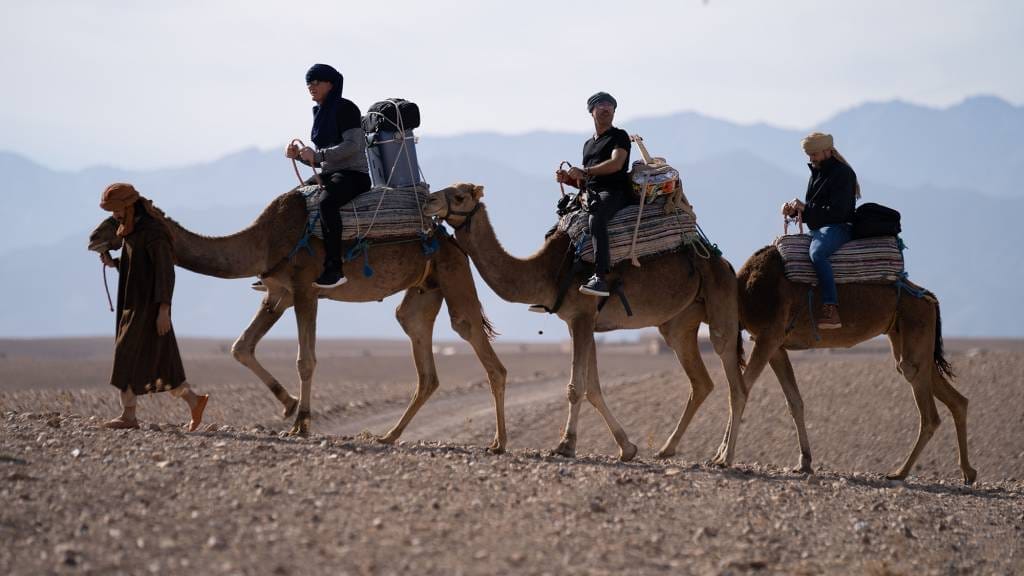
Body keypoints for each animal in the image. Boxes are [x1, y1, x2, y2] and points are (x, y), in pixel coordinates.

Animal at [87, 190, 509, 451]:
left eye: (117, 219)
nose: (92, 238)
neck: (263, 240)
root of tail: (450, 238)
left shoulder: (306, 288)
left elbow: (305, 359)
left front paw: (302, 422)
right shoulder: (278, 294)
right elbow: (241, 347)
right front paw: (288, 405)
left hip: (453, 275)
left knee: (476, 341)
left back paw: (498, 444)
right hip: (423, 291)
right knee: (422, 356)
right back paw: (389, 437)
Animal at [423, 183, 748, 462]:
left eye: (460, 196)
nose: (429, 200)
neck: (548, 270)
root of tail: (724, 262)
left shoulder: (582, 317)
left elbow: (575, 387)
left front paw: (565, 445)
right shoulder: (581, 323)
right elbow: (592, 388)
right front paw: (627, 448)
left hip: (721, 305)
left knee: (736, 382)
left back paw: (725, 458)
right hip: (678, 324)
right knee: (701, 382)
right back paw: (668, 450)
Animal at [724, 244, 976, 484]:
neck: (745, 290)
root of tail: (930, 297)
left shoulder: (769, 337)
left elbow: (740, 390)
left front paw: (723, 457)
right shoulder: (776, 345)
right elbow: (794, 401)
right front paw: (804, 462)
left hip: (915, 325)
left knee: (928, 409)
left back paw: (900, 473)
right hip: (907, 336)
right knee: (955, 399)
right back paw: (968, 472)